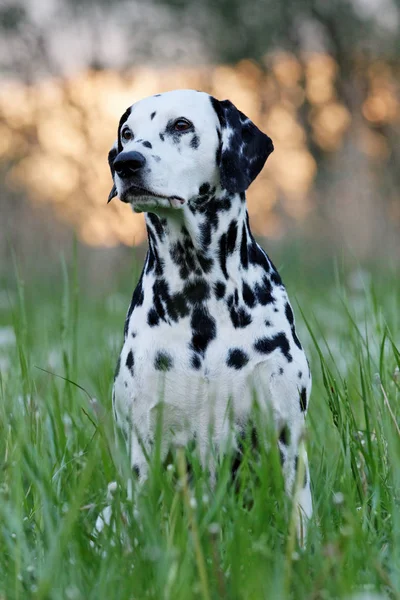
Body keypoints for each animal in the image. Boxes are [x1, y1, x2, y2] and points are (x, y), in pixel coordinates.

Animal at [106, 89, 312, 540]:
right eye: (127, 132)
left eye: (181, 125)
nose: (126, 162)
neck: (200, 297)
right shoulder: (147, 446)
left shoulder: (284, 434)